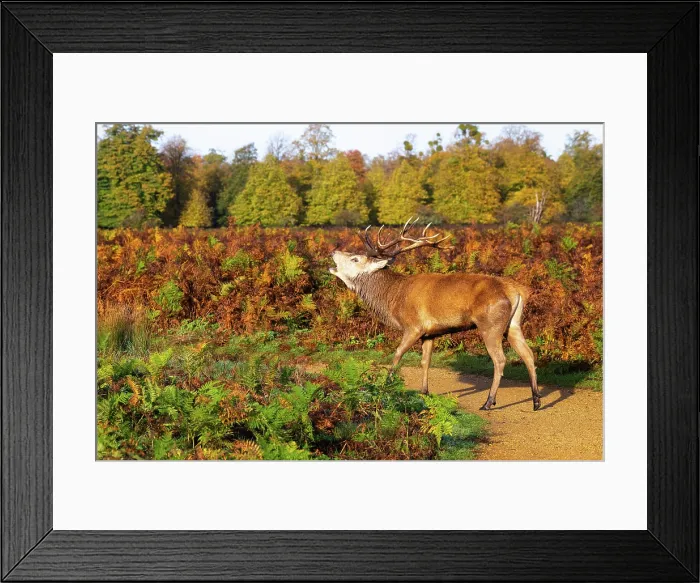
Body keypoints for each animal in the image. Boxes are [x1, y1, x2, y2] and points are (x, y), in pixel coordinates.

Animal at [329, 217, 541, 411]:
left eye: (355, 258)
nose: (333, 251)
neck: (393, 297)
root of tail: (516, 290)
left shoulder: (413, 326)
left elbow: (397, 355)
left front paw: (386, 386)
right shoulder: (430, 333)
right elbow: (425, 361)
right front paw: (424, 391)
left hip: (491, 324)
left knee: (500, 359)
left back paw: (489, 402)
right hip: (513, 324)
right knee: (528, 354)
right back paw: (536, 400)